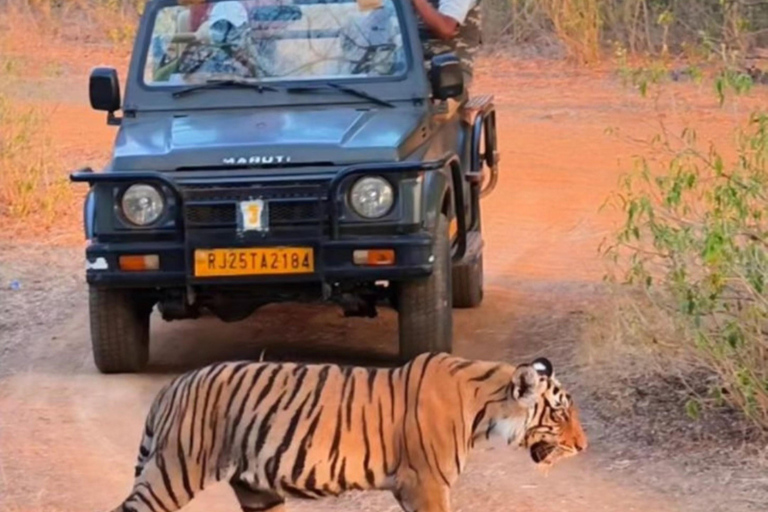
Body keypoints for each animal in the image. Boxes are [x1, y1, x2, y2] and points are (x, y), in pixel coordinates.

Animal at [108, 352, 584, 512]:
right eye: (560, 413)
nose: (583, 446)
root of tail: (174, 384)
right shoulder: (427, 484)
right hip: (175, 471)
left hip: (257, 492)